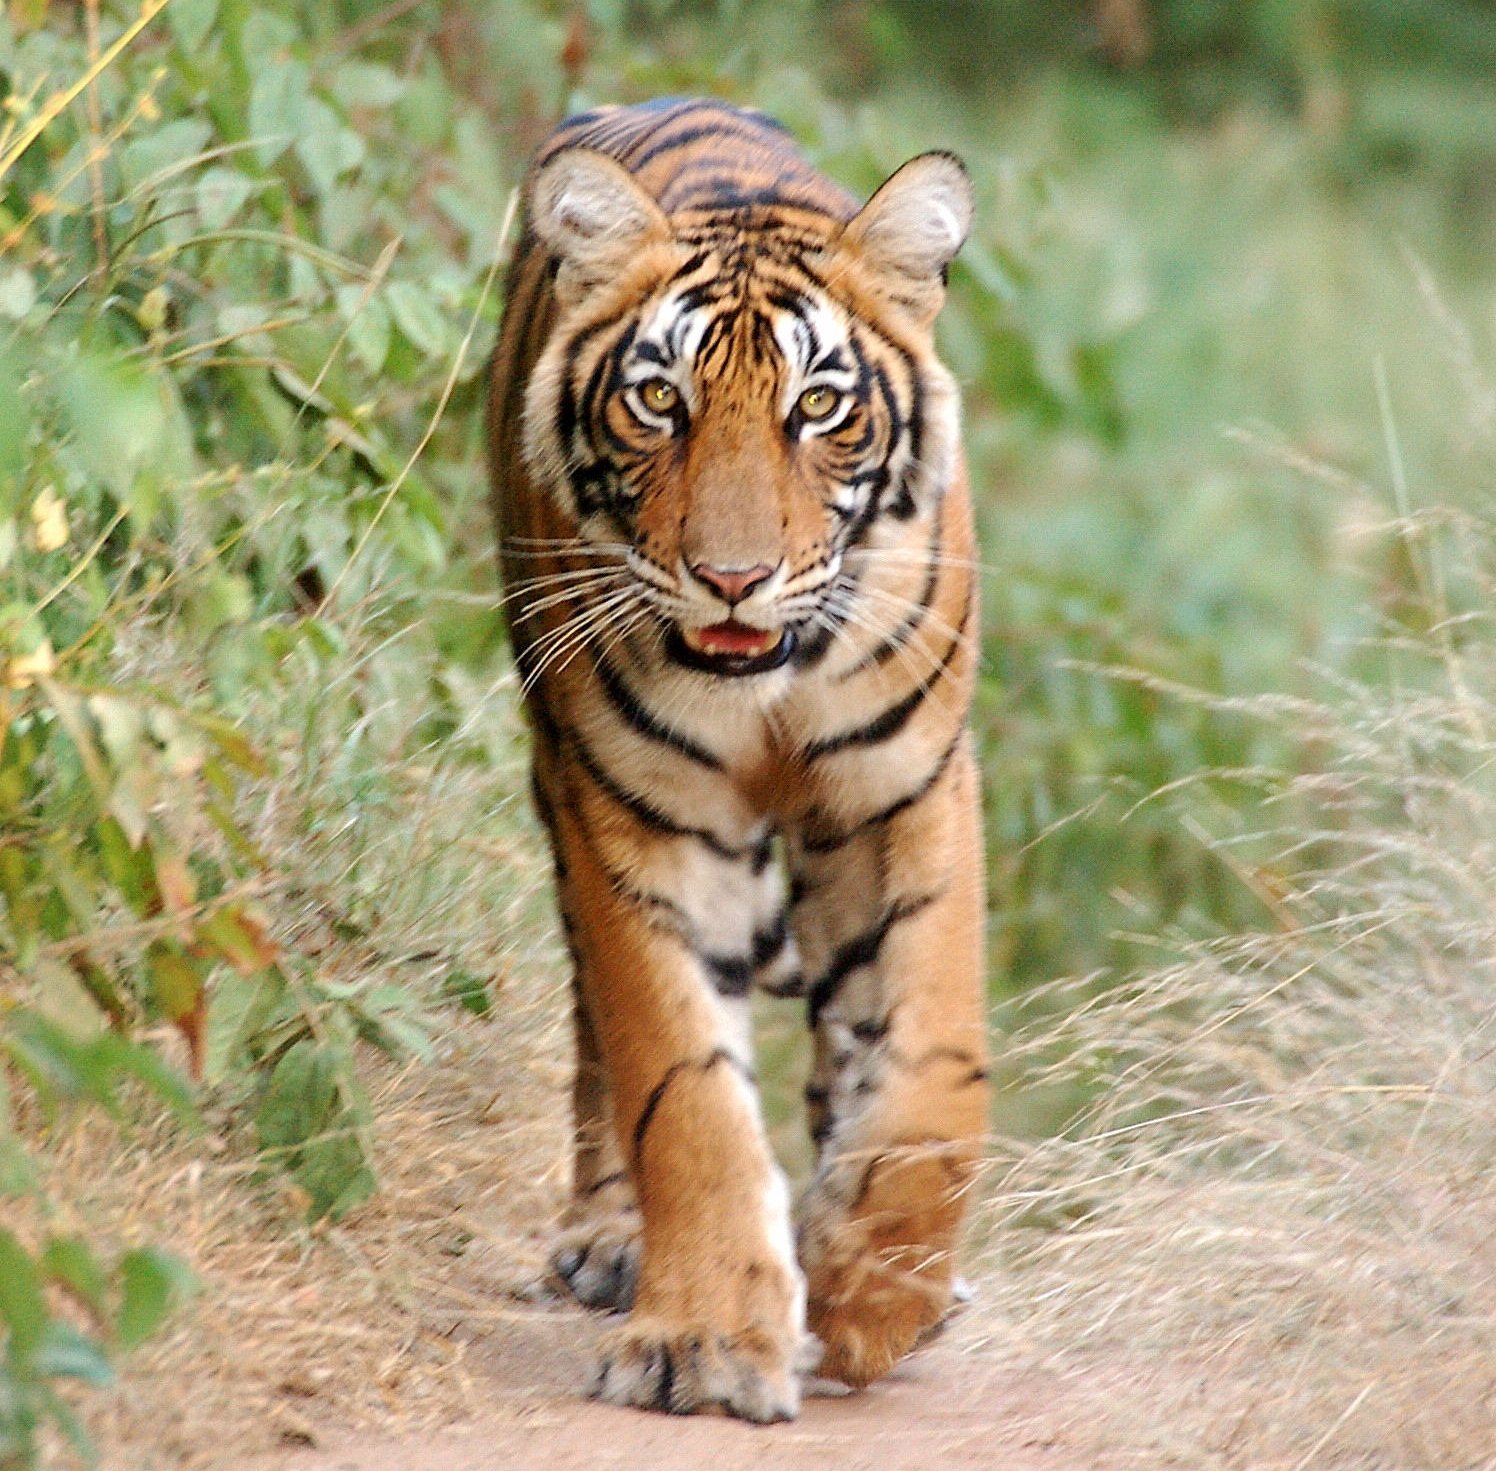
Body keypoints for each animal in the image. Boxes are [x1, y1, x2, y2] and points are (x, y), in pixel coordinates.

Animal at [484, 95, 987, 1424]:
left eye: (816, 407)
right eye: (659, 401)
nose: (730, 578)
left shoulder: (905, 791)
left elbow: (929, 1062)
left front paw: (869, 1289)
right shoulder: (630, 813)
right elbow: (683, 1086)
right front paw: (704, 1344)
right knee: (597, 1032)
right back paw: (612, 1236)